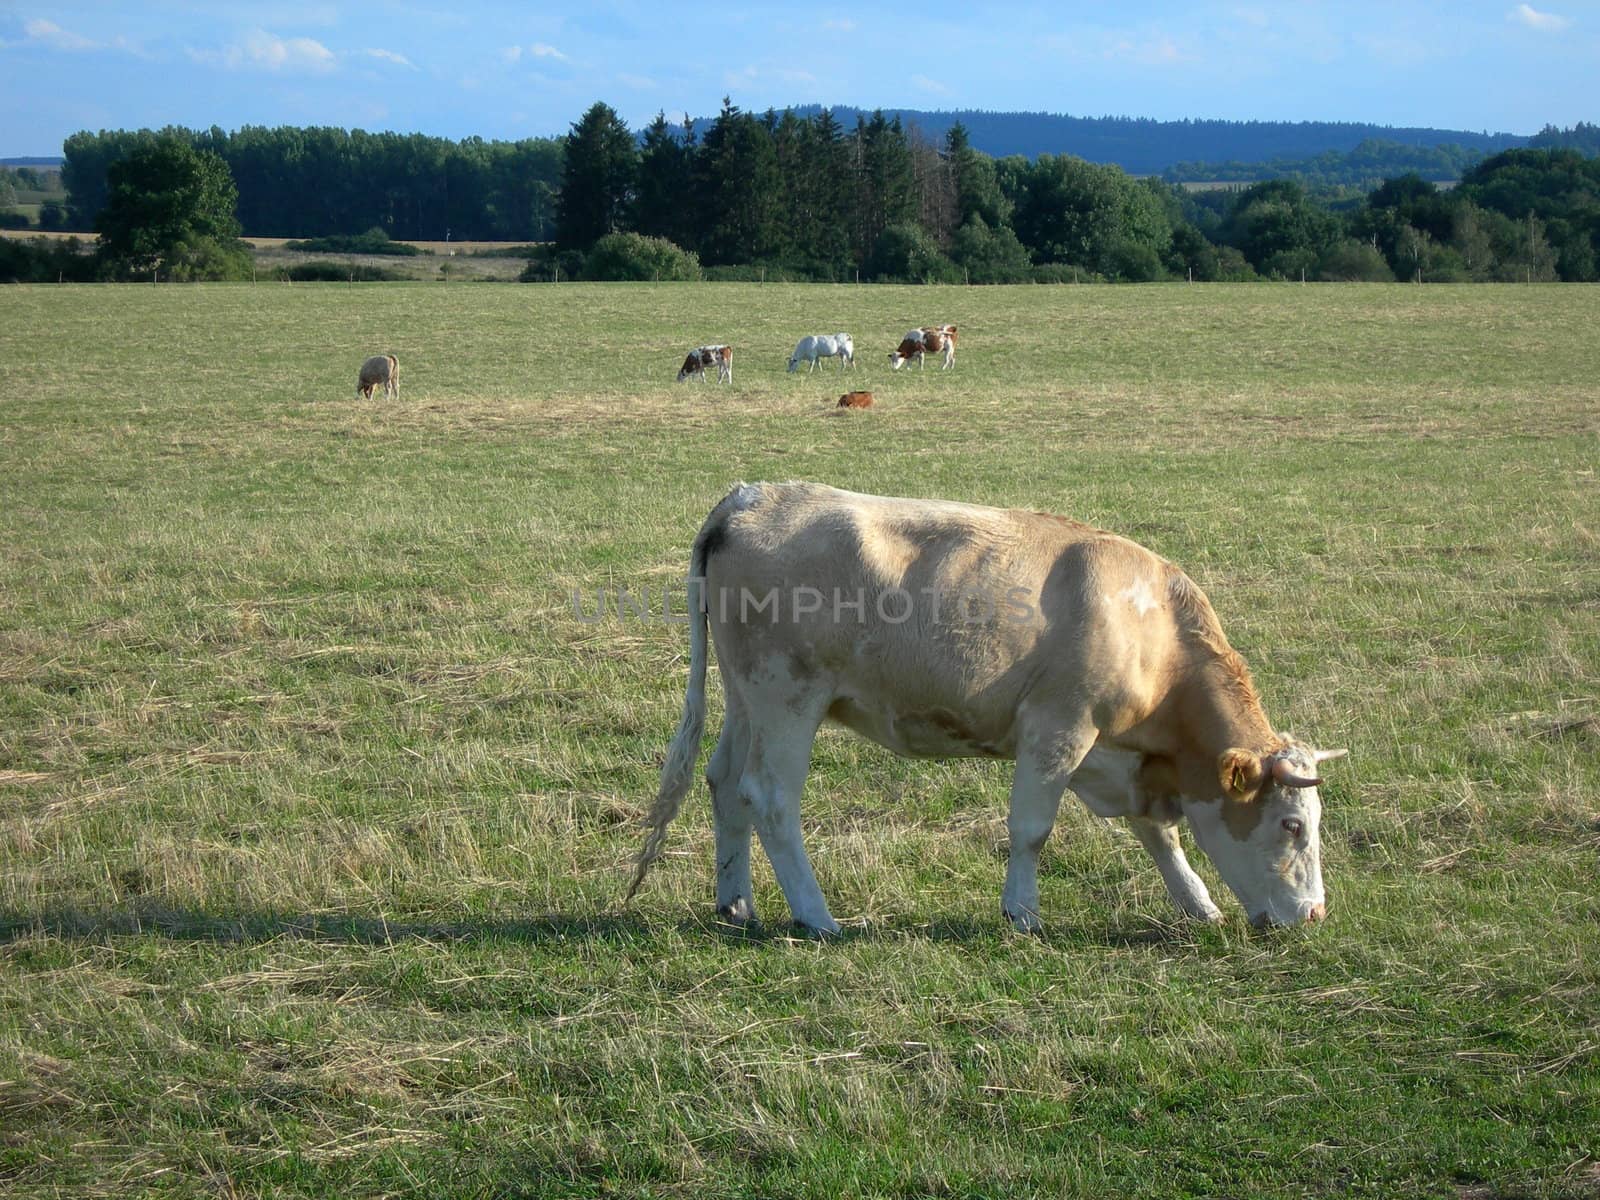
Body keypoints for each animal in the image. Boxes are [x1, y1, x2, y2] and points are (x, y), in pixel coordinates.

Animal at [630, 483, 1344, 934]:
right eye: (1291, 826)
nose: (1314, 914)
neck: (1154, 631)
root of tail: (750, 496)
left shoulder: (1116, 757)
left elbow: (1159, 834)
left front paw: (1197, 903)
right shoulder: (1060, 727)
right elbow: (1031, 829)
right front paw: (1022, 912)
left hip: (745, 696)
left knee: (725, 782)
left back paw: (736, 904)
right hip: (787, 698)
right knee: (770, 796)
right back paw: (816, 914)